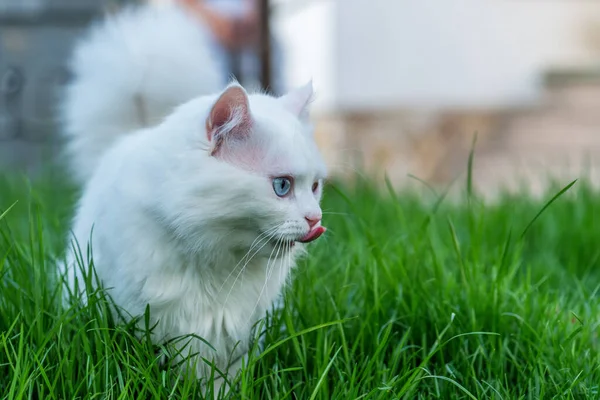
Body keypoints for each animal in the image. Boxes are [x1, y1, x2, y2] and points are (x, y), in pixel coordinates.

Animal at [59, 3, 328, 396]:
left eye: (315, 187)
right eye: (282, 186)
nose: (315, 218)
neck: (221, 262)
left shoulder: (239, 333)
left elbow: (225, 380)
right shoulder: (151, 321)